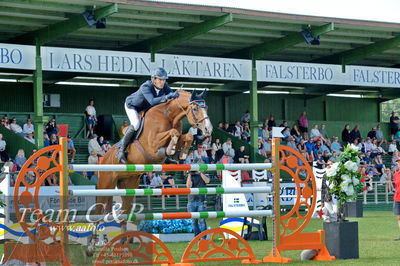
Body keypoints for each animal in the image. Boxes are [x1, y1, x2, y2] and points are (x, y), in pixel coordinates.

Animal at [86, 89, 212, 256]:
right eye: (196, 108)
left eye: (207, 108)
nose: (208, 130)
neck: (169, 115)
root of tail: (105, 158)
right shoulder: (153, 143)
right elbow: (173, 134)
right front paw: (171, 149)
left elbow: (187, 136)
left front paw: (180, 154)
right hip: (106, 184)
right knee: (99, 212)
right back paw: (91, 248)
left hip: (129, 185)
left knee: (123, 214)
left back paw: (122, 246)